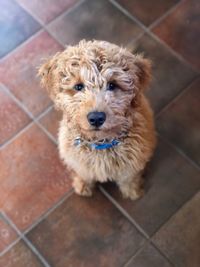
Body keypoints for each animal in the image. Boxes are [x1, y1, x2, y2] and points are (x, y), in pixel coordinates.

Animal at [38, 40, 156, 201]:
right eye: (78, 86)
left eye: (112, 85)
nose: (96, 118)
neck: (101, 143)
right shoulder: (78, 162)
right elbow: (84, 174)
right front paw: (82, 185)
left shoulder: (132, 164)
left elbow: (128, 178)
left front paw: (133, 191)